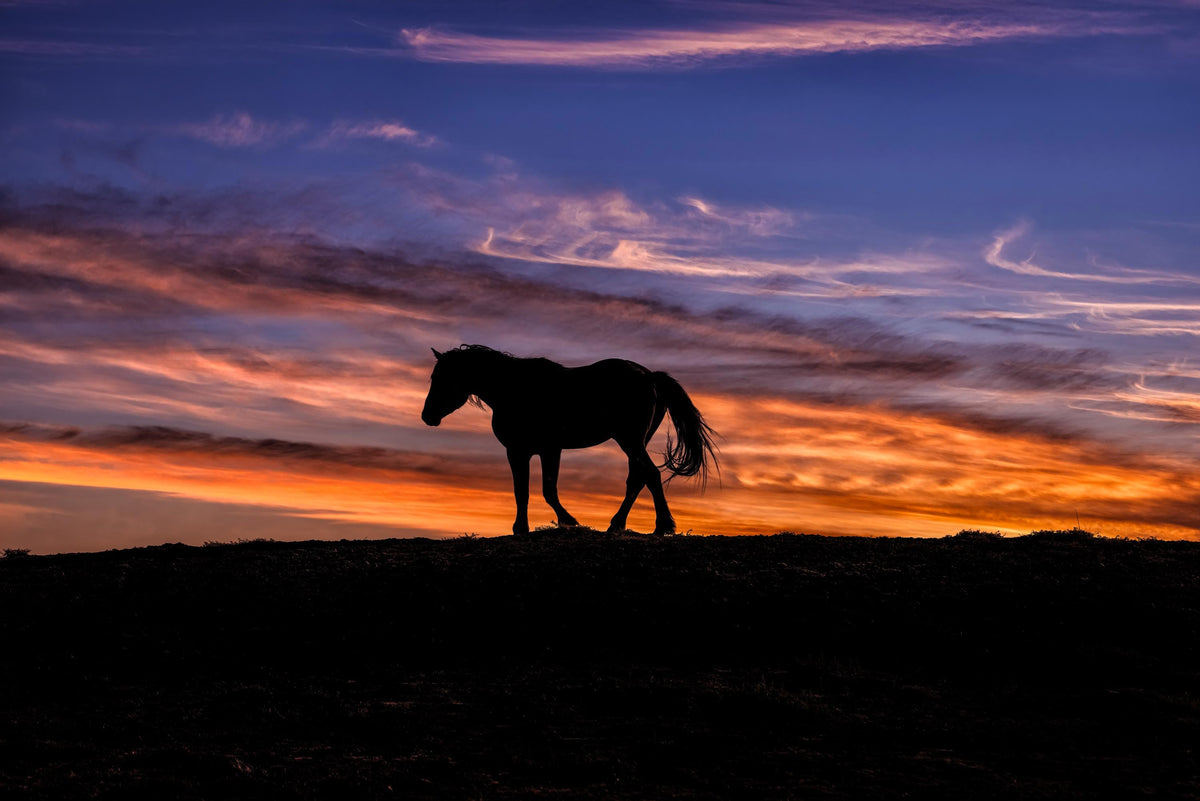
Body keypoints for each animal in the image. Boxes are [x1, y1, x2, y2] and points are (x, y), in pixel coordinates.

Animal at [421, 345, 718, 536]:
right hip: (636, 441)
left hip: (629, 439)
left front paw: (557, 522)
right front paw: (533, 526)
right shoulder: (537, 451)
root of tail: (650, 377)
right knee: (638, 478)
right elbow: (532, 491)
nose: (427, 416)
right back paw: (617, 525)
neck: (514, 389)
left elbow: (538, 490)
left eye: (442, 379)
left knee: (651, 475)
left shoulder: (530, 450)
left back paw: (663, 526)